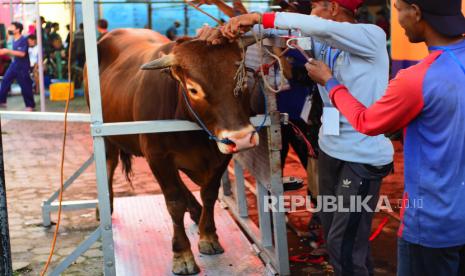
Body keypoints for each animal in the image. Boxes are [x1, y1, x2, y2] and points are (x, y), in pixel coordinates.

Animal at [85, 28, 260, 274]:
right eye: (193, 89)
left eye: (242, 80)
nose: (242, 138)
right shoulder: (158, 157)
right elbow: (174, 203)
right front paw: (182, 254)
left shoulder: (220, 153)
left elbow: (209, 193)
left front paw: (208, 235)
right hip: (108, 137)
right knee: (110, 163)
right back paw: (105, 208)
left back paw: (195, 210)